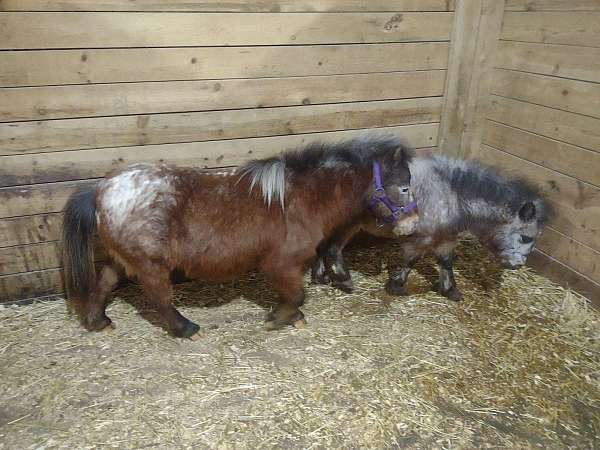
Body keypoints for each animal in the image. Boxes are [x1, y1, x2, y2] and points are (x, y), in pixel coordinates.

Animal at [61, 135, 418, 340]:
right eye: (404, 187)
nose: (413, 224)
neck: (301, 197)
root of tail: (102, 190)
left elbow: (294, 295)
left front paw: (291, 317)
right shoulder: (281, 264)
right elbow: (296, 296)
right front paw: (279, 319)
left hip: (123, 258)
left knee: (104, 282)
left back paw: (98, 321)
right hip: (149, 264)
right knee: (159, 299)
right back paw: (185, 329)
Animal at [312, 153, 552, 300]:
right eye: (526, 237)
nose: (517, 265)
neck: (450, 193)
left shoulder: (446, 238)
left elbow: (446, 262)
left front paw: (450, 289)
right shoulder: (421, 238)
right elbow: (411, 260)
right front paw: (397, 285)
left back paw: (321, 277)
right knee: (331, 248)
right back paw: (340, 279)